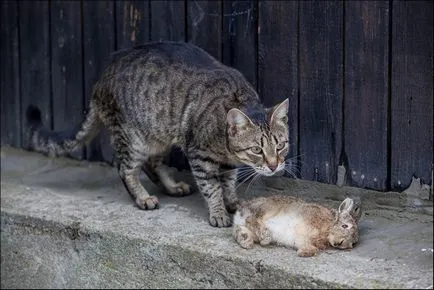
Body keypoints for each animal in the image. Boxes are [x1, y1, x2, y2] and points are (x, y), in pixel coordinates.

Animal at [25, 40, 290, 228]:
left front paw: (232, 202)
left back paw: (172, 187)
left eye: (280, 146)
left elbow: (228, 183)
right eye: (257, 150)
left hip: (159, 135)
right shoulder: (199, 155)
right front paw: (218, 212)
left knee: (152, 164)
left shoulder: (226, 163)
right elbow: (212, 187)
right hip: (133, 138)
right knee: (126, 168)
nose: (274, 165)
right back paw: (143, 198)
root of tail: (100, 79)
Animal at [232, 194, 362, 258]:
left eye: (353, 242)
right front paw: (303, 253)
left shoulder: (303, 239)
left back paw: (246, 240)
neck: (329, 227)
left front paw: (303, 252)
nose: (340, 243)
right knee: (252, 219)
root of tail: (241, 212)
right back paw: (265, 237)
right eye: (345, 226)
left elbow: (312, 248)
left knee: (240, 229)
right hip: (267, 208)